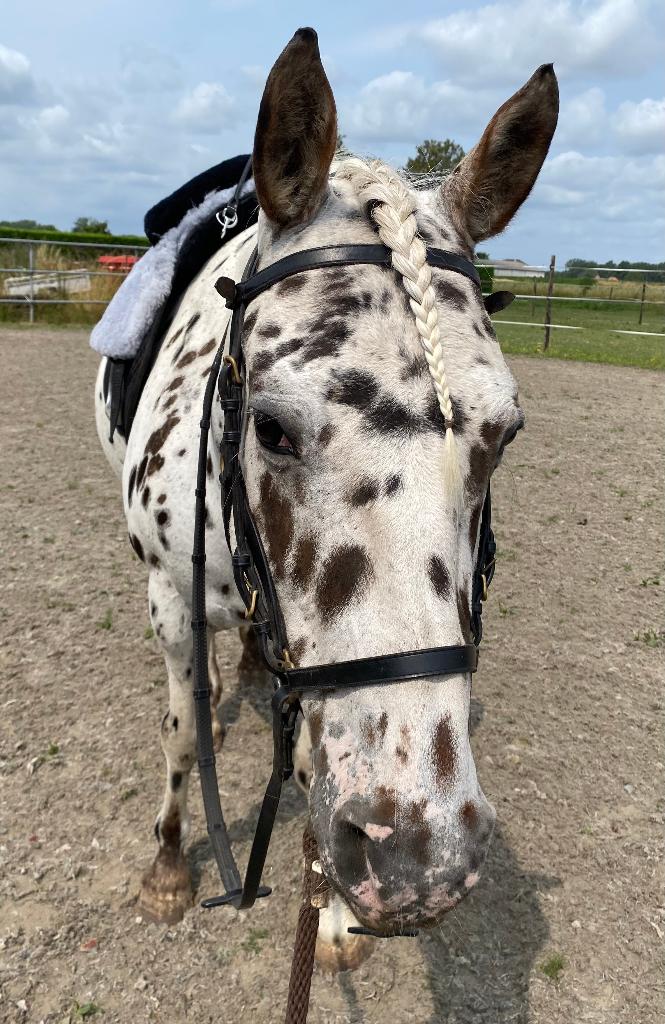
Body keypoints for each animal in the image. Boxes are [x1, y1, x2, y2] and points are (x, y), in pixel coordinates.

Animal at [94, 27, 558, 969]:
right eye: (270, 428)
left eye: (504, 434)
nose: (420, 862)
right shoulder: (168, 600)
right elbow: (178, 731)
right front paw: (167, 869)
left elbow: (313, 762)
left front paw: (335, 915)